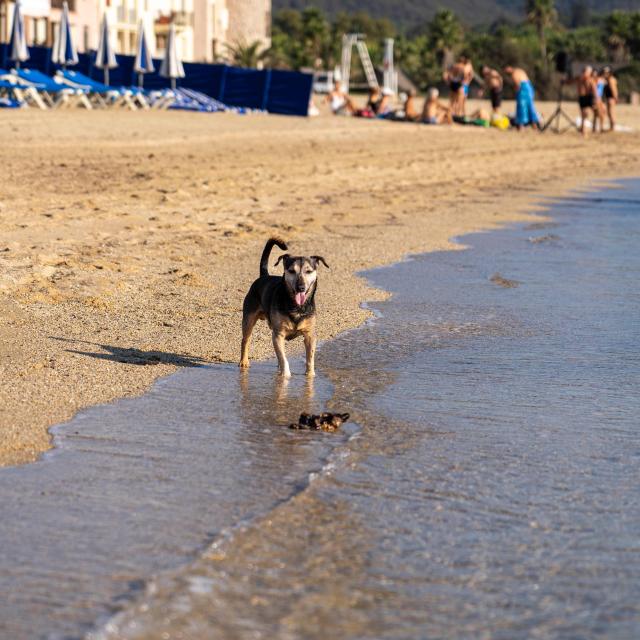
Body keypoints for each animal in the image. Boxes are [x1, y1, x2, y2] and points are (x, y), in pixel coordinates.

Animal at [241, 238, 330, 378]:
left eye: (309, 271)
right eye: (291, 271)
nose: (301, 287)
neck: (296, 306)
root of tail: (263, 276)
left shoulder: (310, 335)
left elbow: (310, 358)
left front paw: (310, 375)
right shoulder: (278, 334)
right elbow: (283, 358)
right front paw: (286, 375)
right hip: (248, 318)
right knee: (245, 340)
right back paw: (244, 362)